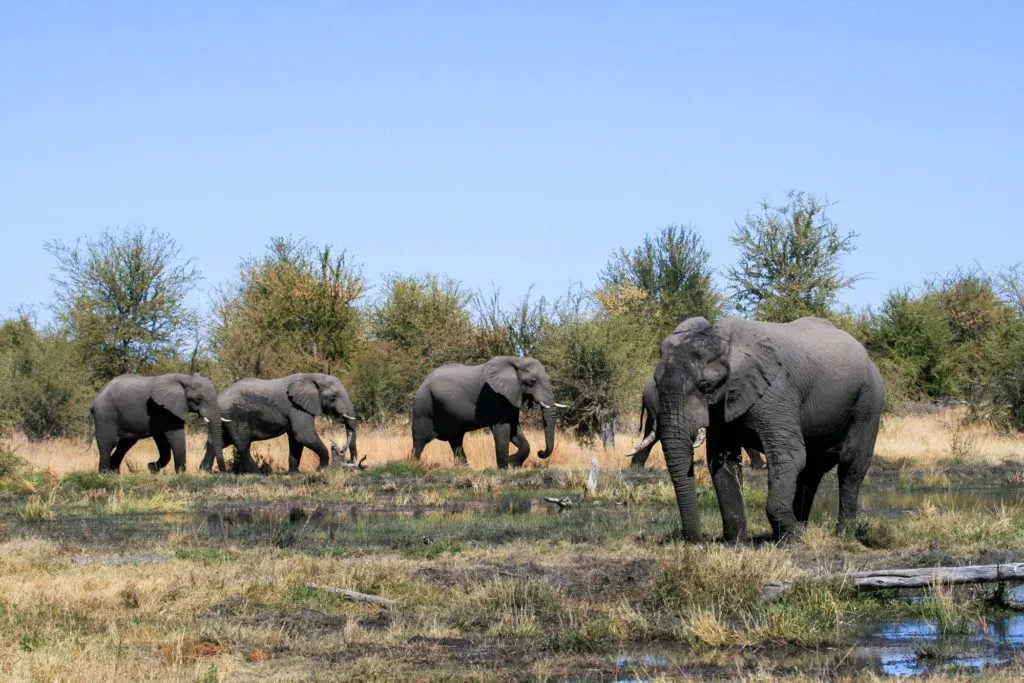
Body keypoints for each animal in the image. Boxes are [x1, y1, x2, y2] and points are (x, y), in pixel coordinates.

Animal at [90, 373, 227, 473]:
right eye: (199, 399)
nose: (223, 472)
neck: (185, 378)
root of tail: (98, 395)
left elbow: (162, 441)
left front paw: (151, 468)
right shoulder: (165, 409)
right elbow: (175, 437)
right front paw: (180, 474)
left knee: (124, 445)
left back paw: (115, 473)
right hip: (105, 415)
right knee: (107, 443)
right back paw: (105, 474)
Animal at [200, 373, 357, 474]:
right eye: (334, 396)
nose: (352, 464)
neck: (312, 376)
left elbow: (296, 439)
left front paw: (295, 474)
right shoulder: (296, 407)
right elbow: (303, 435)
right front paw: (321, 469)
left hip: (223, 420)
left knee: (217, 441)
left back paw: (204, 471)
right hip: (235, 417)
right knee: (242, 444)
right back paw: (257, 473)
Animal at [411, 356, 565, 468]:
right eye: (532, 382)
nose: (541, 452)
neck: (516, 361)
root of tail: (424, 381)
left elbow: (515, 431)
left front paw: (512, 463)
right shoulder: (495, 396)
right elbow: (503, 431)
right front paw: (503, 468)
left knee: (456, 439)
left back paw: (464, 468)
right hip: (423, 405)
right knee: (420, 439)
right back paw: (414, 465)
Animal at [653, 316, 884, 543]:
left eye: (705, 385)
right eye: (655, 383)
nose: (698, 541)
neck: (724, 341)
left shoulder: (776, 393)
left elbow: (789, 457)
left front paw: (795, 538)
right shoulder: (723, 405)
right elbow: (722, 461)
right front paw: (735, 543)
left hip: (868, 402)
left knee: (850, 466)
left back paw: (843, 534)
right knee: (812, 470)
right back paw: (800, 527)